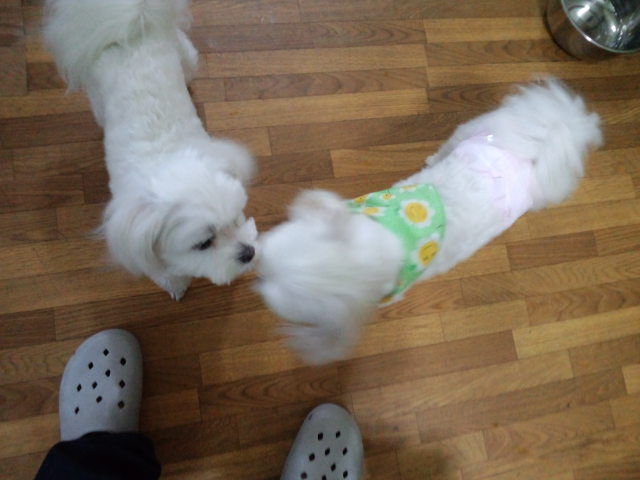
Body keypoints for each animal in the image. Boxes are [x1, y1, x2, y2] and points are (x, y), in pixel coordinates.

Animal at [44, 0, 258, 300]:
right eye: (204, 243)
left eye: (236, 218)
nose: (249, 253)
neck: (166, 159)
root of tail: (135, 27)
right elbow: (166, 272)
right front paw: (176, 284)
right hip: (97, 95)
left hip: (183, 53)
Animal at [256, 78, 603, 365]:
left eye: (271, 286)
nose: (255, 270)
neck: (389, 232)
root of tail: (533, 152)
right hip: (475, 131)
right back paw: (435, 157)